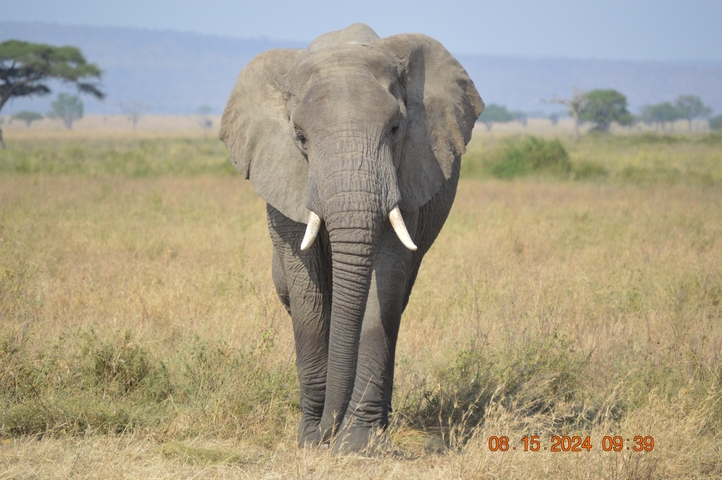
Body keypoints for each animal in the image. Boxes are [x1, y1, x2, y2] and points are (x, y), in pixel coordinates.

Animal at [219, 23, 483, 453]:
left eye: (395, 129)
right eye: (300, 136)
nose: (327, 432)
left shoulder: (405, 174)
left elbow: (383, 288)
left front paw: (357, 445)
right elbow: (308, 294)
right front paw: (310, 439)